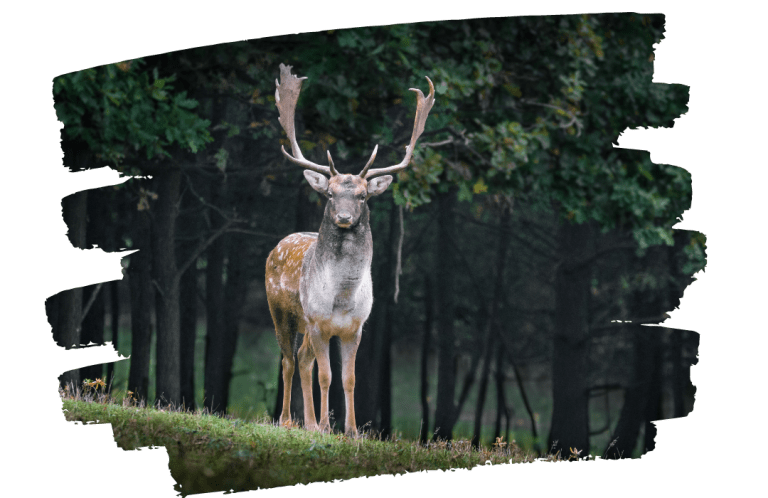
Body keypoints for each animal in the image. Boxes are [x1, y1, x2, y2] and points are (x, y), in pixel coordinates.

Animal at [265, 63, 435, 436]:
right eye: (329, 193)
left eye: (362, 195)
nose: (343, 217)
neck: (342, 298)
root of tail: (277, 246)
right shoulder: (318, 322)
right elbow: (326, 376)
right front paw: (326, 426)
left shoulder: (355, 327)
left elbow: (349, 378)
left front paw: (352, 430)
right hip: (281, 312)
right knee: (287, 360)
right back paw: (288, 420)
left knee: (302, 359)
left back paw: (308, 423)